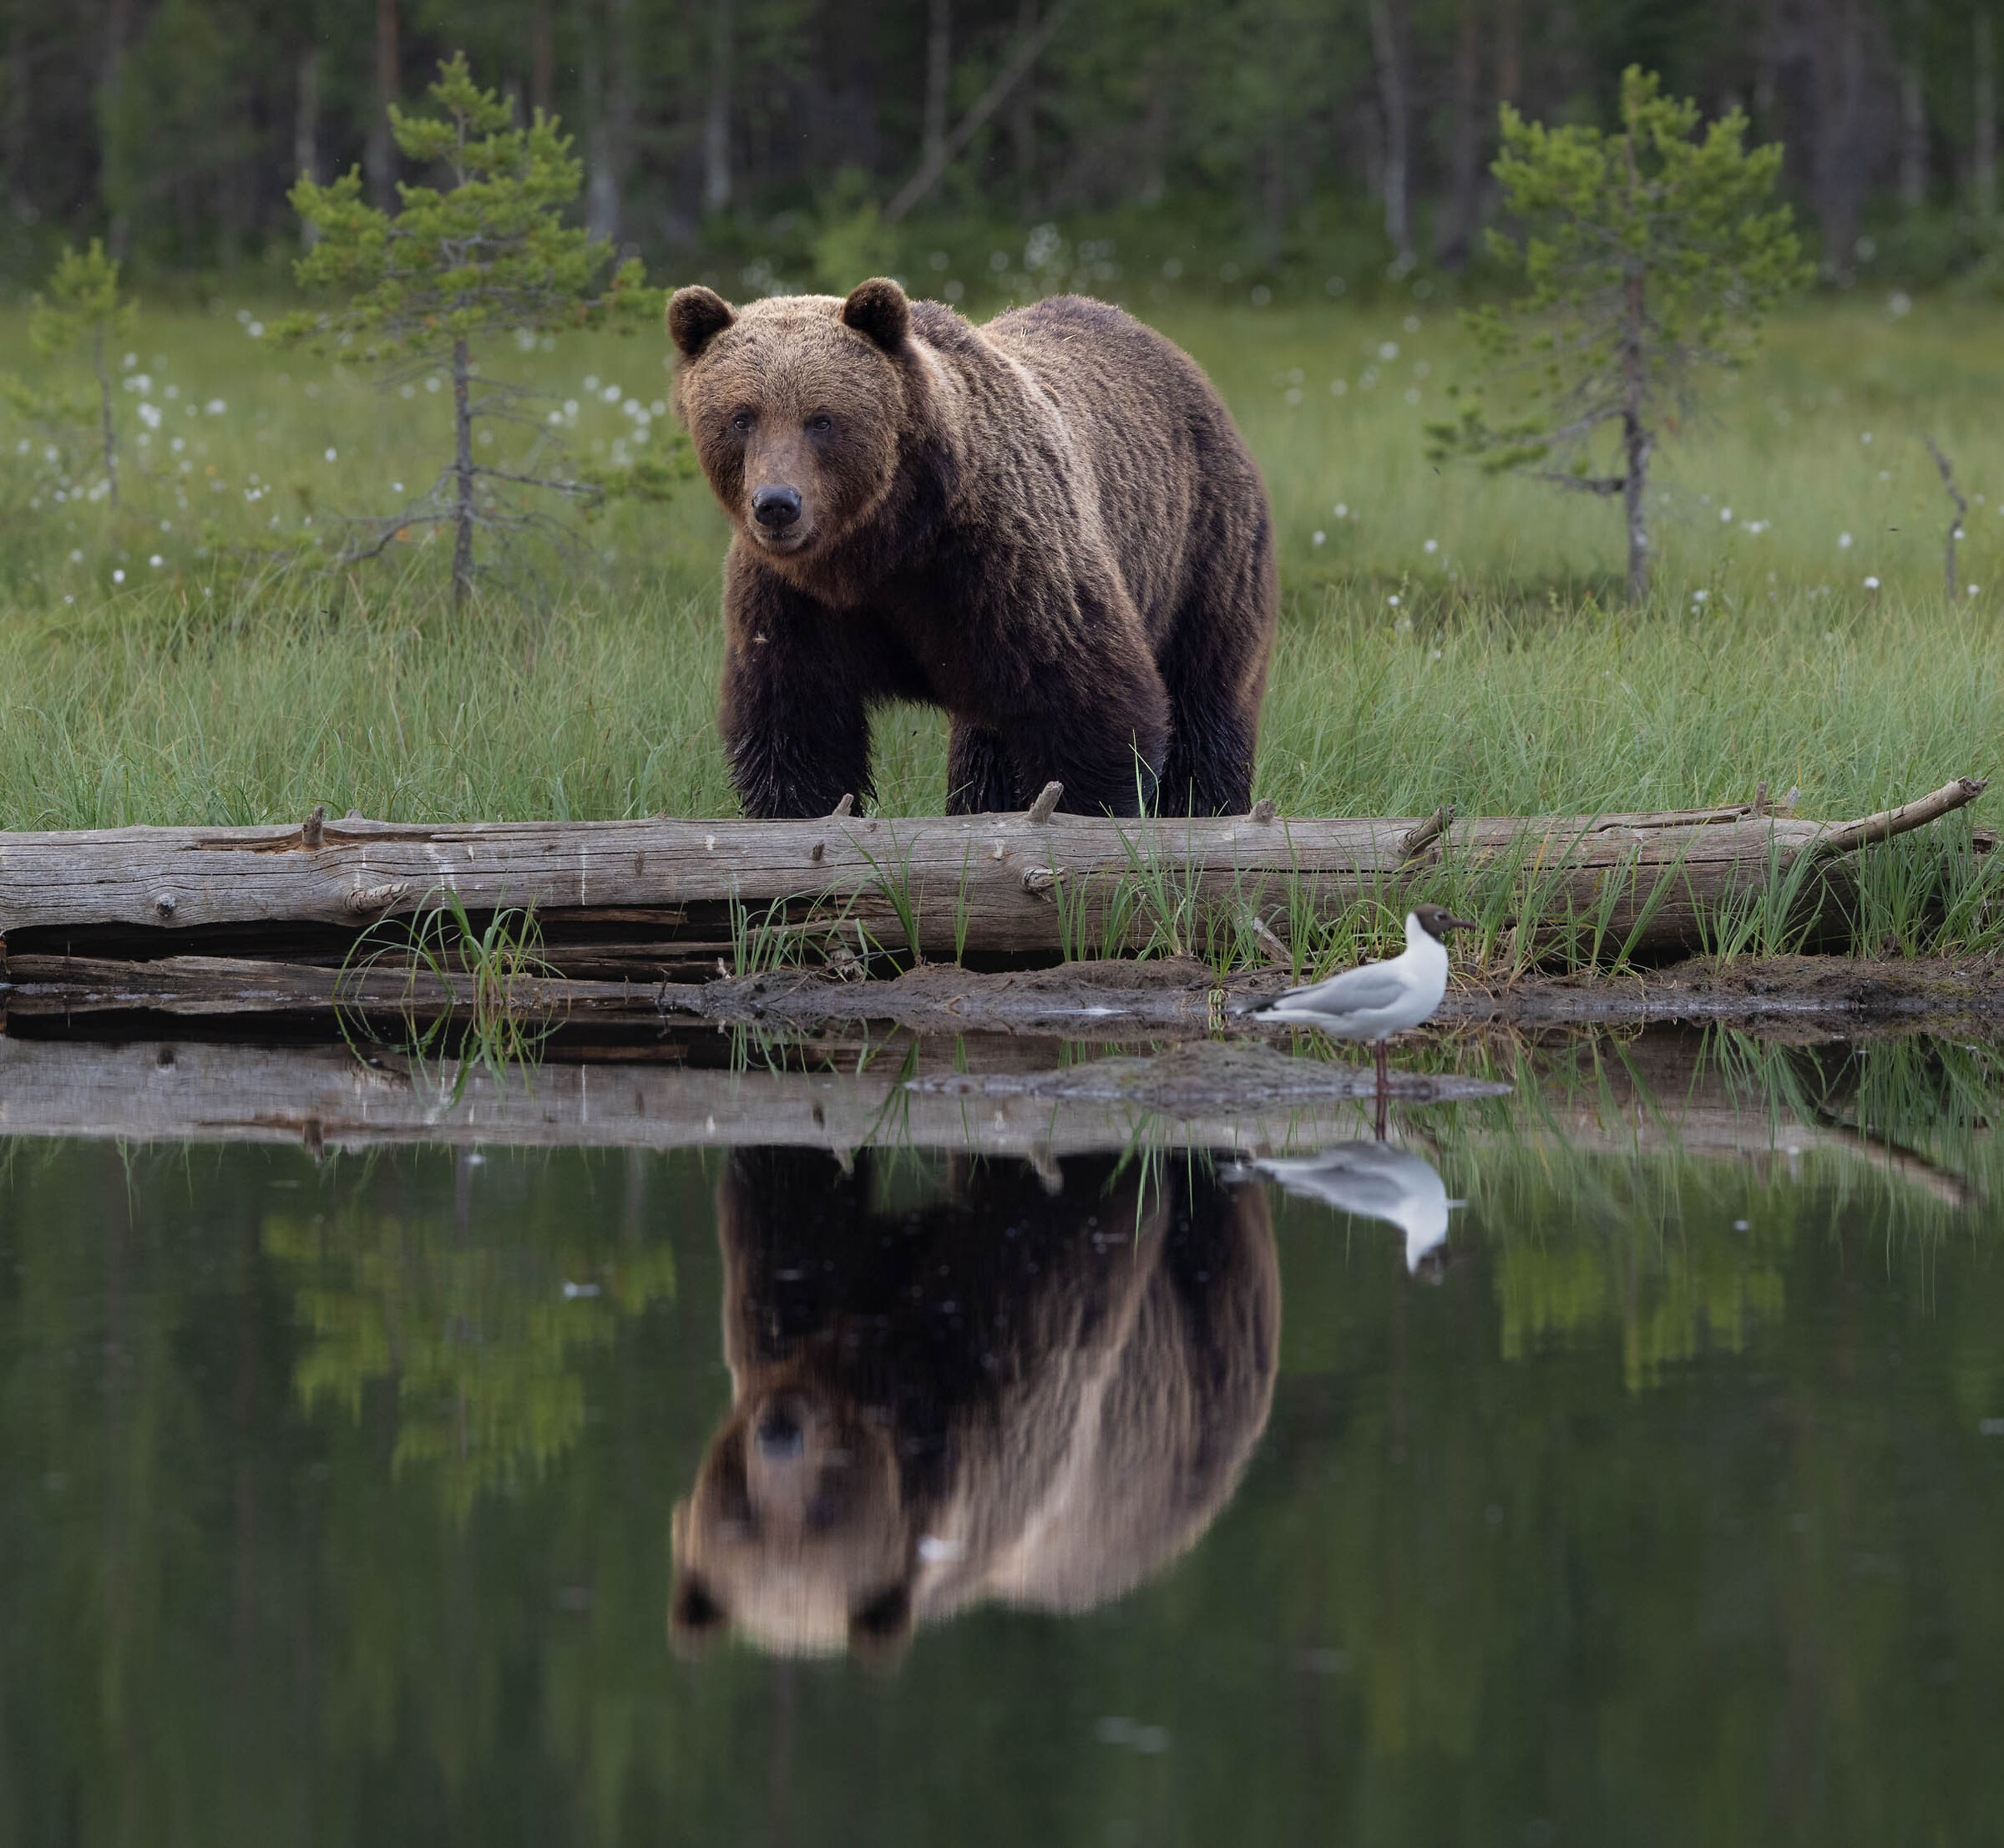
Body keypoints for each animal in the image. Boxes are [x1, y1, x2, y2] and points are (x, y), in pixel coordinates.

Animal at [667, 277, 1278, 819]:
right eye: (741, 416)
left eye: (822, 418)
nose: (777, 504)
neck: (882, 544)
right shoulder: (793, 600)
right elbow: (796, 728)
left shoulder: (1001, 560)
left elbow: (1092, 708)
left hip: (1204, 548)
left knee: (1208, 701)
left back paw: (1209, 806)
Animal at [668, 1146, 1279, 1661]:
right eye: (742, 1514)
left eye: (826, 1510)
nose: (780, 1432)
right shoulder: (785, 1303)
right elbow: (792, 1190)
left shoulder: (1015, 1378)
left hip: (1211, 1339)